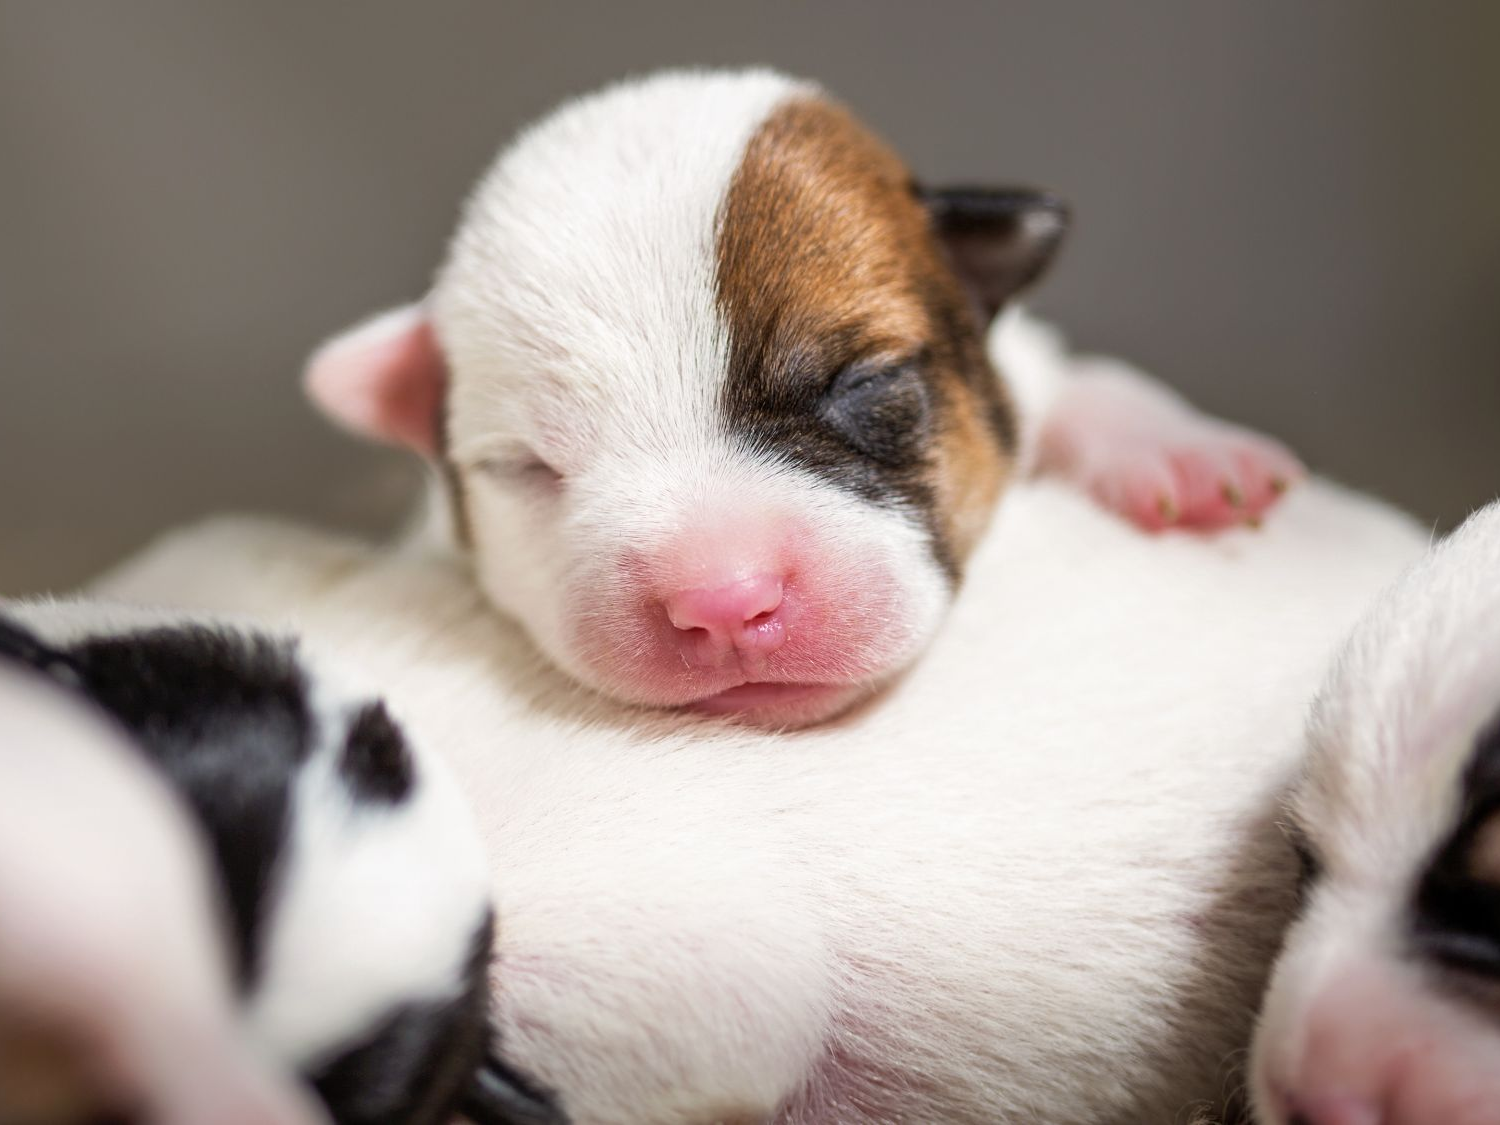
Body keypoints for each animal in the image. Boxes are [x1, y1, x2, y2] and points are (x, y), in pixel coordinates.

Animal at [301, 68, 1302, 732]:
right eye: (523, 467)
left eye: (861, 383)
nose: (722, 602)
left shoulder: (1025, 358)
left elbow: (1085, 380)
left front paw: (1187, 458)